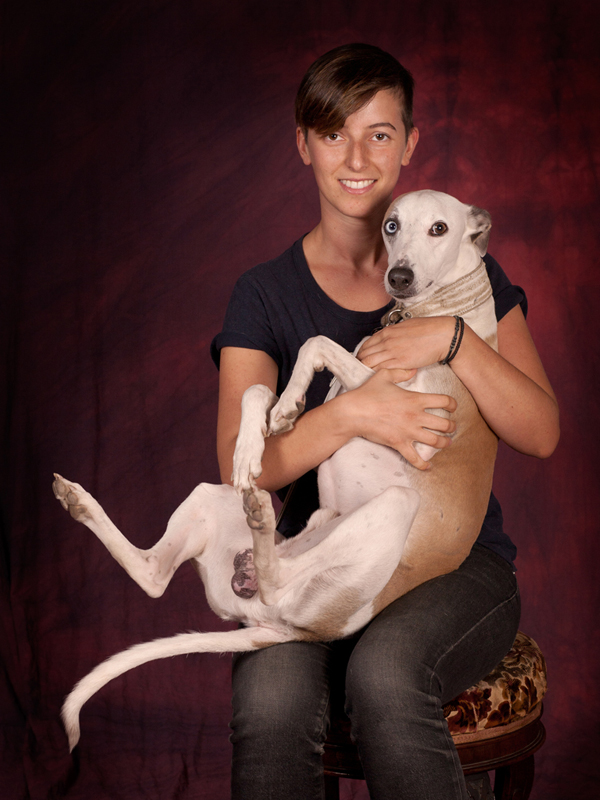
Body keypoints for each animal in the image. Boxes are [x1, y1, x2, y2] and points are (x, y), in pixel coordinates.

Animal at [53, 190, 497, 750]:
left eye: (440, 228)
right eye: (391, 225)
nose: (398, 277)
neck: (429, 313)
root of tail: (285, 629)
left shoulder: (416, 415)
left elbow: (318, 342)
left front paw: (281, 410)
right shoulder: (341, 399)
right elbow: (261, 388)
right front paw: (261, 433)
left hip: (394, 508)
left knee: (273, 574)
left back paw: (262, 520)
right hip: (213, 497)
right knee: (156, 575)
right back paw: (85, 500)